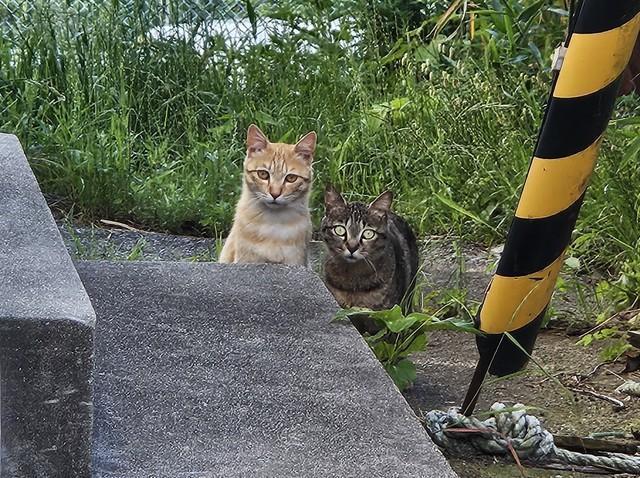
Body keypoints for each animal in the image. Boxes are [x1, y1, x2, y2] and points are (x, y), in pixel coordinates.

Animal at [219, 124, 316, 266]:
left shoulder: (295, 259)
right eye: (263, 174)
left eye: (291, 178)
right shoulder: (246, 258)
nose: (275, 194)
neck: (273, 222)